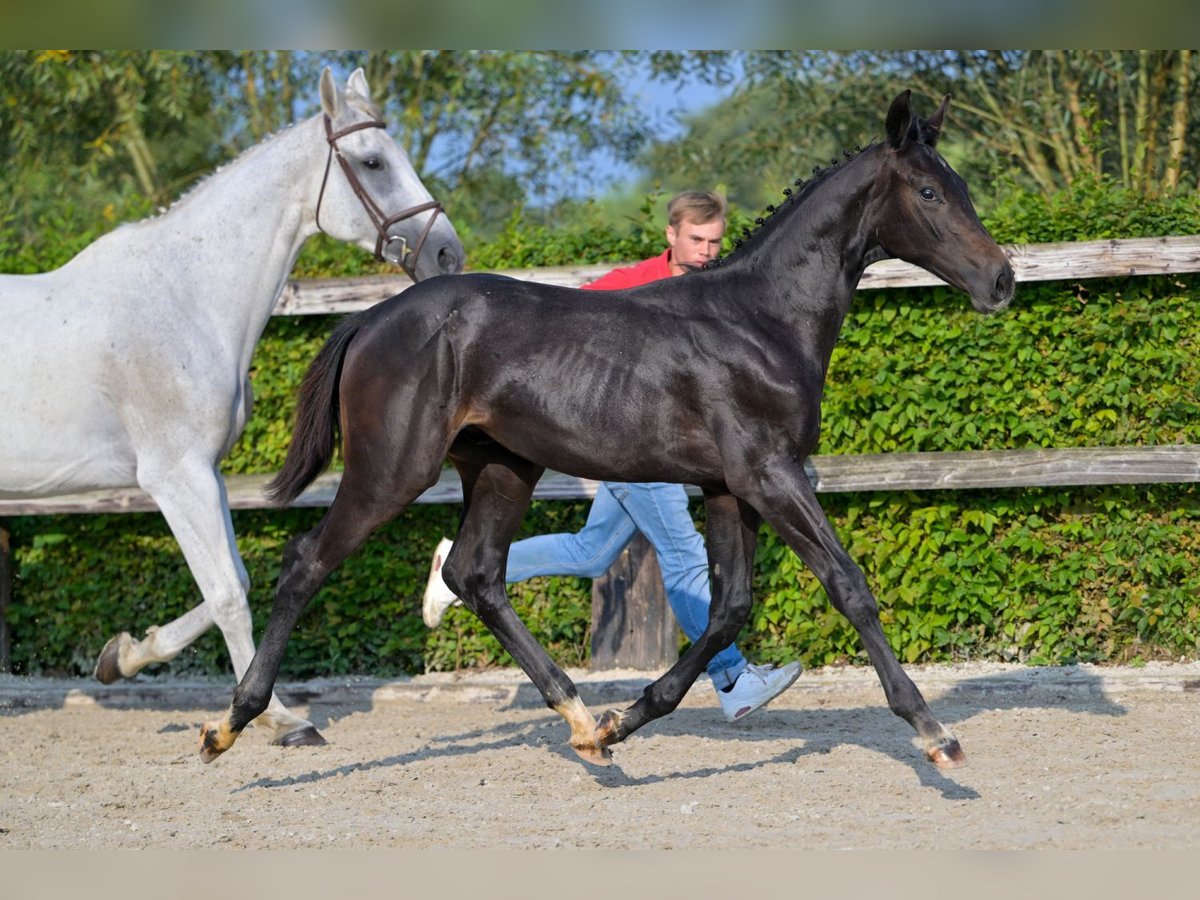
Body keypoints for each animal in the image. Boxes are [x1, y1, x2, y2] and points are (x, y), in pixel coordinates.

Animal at [0, 66, 463, 748]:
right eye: (373, 161)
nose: (447, 255)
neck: (184, 295)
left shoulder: (207, 473)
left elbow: (233, 582)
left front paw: (123, 655)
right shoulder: (176, 476)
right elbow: (225, 594)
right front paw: (273, 720)